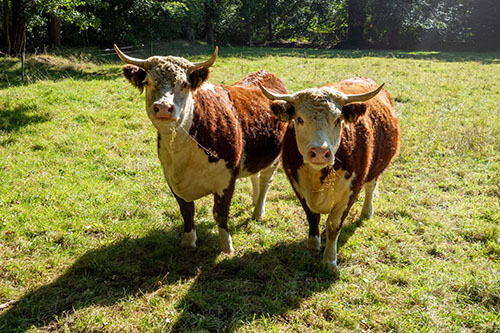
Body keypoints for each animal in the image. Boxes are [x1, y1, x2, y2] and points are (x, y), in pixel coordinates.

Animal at [114, 44, 288, 252]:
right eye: (147, 82)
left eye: (184, 84)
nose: (163, 108)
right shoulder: (171, 178)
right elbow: (187, 212)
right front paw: (188, 241)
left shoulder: (226, 180)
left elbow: (220, 213)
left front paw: (226, 245)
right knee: (255, 175)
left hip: (275, 157)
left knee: (265, 182)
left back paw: (258, 212)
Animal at [260, 77, 400, 270]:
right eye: (300, 119)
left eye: (338, 119)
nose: (320, 152)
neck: (319, 176)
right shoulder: (298, 186)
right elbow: (312, 216)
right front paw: (313, 244)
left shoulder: (351, 192)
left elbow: (334, 225)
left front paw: (329, 260)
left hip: (376, 168)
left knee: (371, 187)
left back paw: (366, 212)